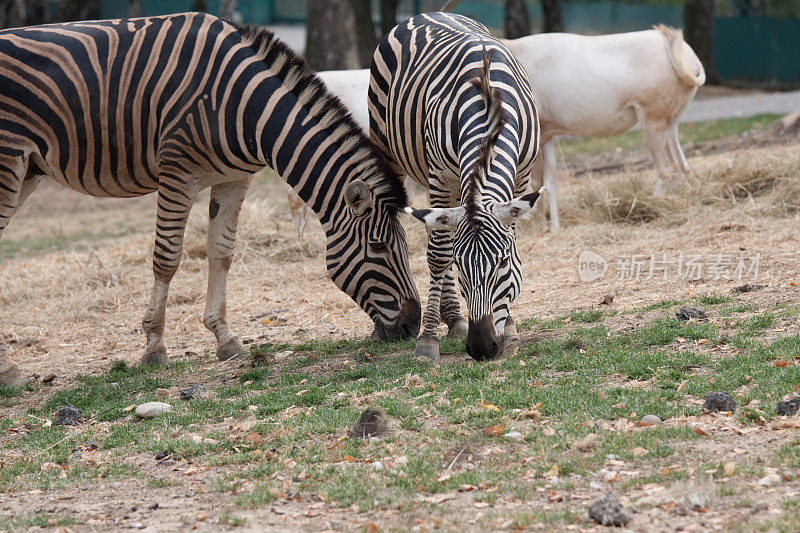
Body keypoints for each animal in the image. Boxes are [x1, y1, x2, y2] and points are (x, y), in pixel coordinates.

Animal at [0, 13, 422, 386]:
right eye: (379, 247)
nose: (412, 324)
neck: (248, 108)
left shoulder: (234, 179)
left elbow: (222, 251)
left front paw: (225, 339)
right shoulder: (177, 174)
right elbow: (167, 259)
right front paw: (154, 347)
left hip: (28, 171)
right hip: (9, 162)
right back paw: (9, 371)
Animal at [368, 12, 544, 360]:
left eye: (503, 263)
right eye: (461, 265)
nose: (481, 347)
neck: (489, 105)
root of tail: (425, 14)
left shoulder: (522, 174)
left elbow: (512, 238)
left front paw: (510, 329)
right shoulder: (441, 176)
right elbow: (439, 254)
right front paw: (427, 341)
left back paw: (455, 320)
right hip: (388, 147)